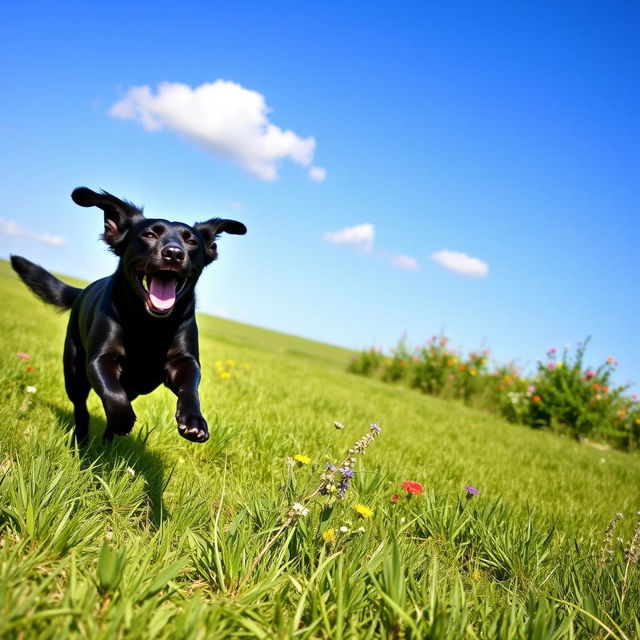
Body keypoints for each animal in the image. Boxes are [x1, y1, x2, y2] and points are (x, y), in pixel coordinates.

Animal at [12, 188, 248, 442]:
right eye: (150, 234)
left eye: (191, 241)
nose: (174, 253)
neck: (149, 324)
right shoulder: (99, 359)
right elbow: (112, 392)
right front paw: (122, 420)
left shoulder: (184, 361)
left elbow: (190, 387)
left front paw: (193, 421)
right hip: (74, 371)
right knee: (81, 407)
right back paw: (83, 438)